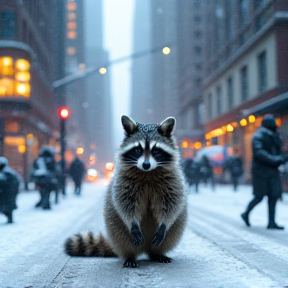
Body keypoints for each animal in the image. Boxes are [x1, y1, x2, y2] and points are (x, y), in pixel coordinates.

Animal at [64, 115, 188, 268]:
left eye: (156, 151)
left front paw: (164, 224)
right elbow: (125, 203)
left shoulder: (172, 181)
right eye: (138, 150)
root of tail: (145, 248)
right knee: (123, 237)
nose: (146, 164)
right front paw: (133, 223)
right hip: (115, 225)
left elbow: (172, 203)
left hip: (175, 228)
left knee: (170, 234)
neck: (147, 172)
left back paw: (157, 253)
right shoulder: (123, 181)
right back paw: (130, 256)